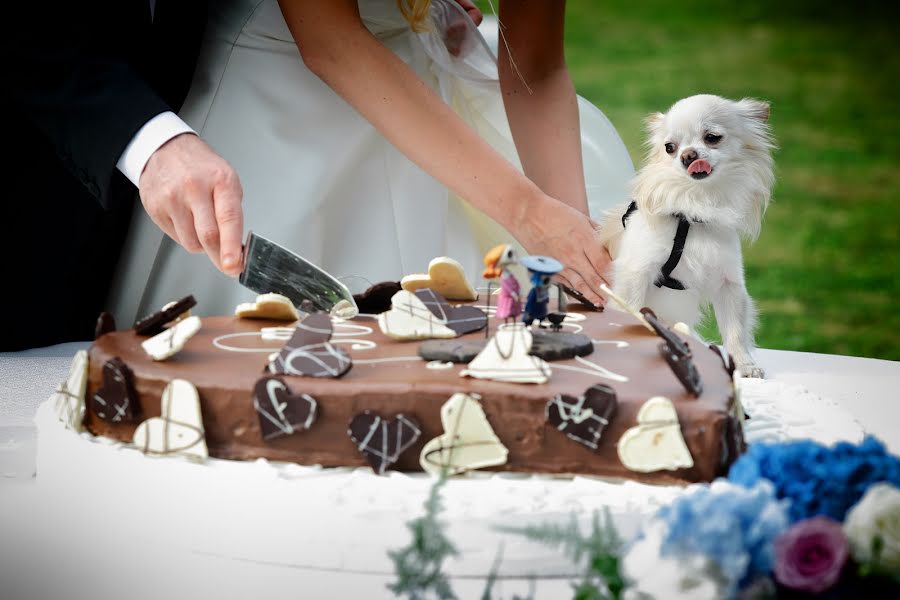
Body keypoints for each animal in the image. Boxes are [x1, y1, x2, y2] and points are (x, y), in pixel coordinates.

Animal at [596, 94, 772, 378]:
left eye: (712, 137)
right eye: (669, 147)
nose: (688, 155)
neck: (693, 212)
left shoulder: (729, 283)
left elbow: (735, 330)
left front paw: (744, 364)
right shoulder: (635, 273)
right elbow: (629, 311)